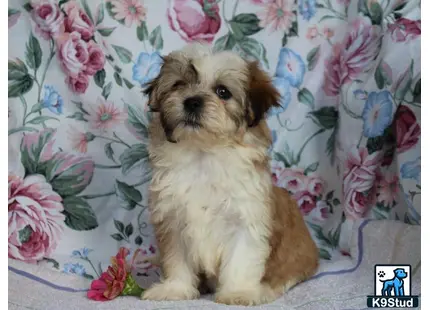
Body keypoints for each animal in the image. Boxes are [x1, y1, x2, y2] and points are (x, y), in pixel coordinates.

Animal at [141, 43, 320, 306]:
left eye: (223, 92)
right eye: (178, 85)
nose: (192, 101)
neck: (204, 154)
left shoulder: (246, 219)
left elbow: (240, 260)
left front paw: (238, 293)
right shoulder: (172, 219)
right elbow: (177, 259)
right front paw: (175, 289)